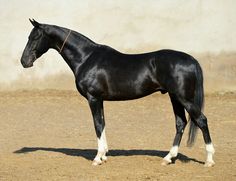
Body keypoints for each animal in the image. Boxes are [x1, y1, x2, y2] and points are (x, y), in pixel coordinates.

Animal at [21, 19, 215, 167]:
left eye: (35, 37)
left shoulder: (93, 98)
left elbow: (97, 125)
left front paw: (97, 158)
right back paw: (168, 158)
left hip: (184, 98)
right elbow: (102, 124)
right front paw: (104, 155)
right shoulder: (100, 100)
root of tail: (191, 59)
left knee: (201, 120)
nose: (24, 61)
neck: (86, 57)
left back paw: (209, 160)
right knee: (180, 123)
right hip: (174, 97)